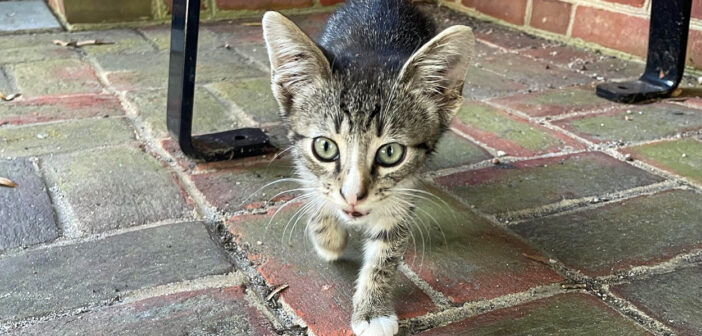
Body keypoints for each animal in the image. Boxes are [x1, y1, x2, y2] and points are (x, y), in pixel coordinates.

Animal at [264, 1, 478, 334]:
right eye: (325, 147)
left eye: (390, 153)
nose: (353, 196)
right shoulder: (302, 158)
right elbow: (315, 190)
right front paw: (328, 238)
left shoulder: (402, 191)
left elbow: (386, 251)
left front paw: (373, 310)